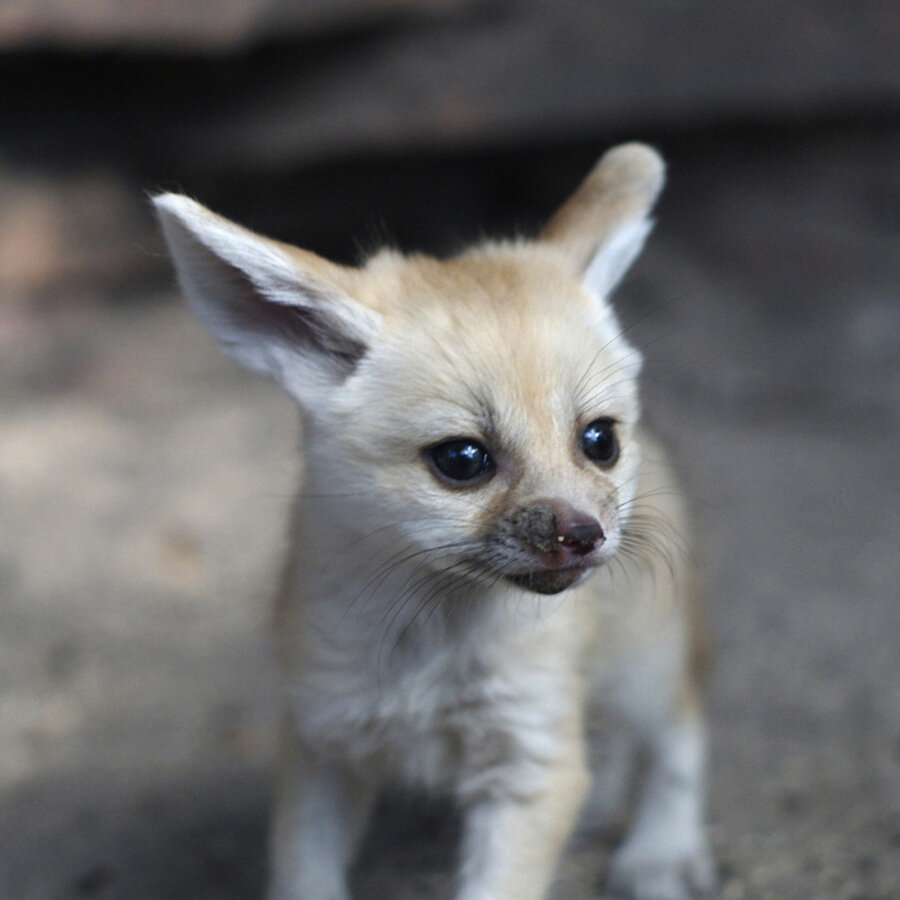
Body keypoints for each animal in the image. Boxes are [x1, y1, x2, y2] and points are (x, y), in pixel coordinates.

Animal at [156, 144, 716, 900]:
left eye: (598, 441)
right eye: (462, 459)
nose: (583, 535)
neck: (429, 653)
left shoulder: (533, 760)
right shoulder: (320, 741)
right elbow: (304, 874)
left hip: (643, 668)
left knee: (679, 730)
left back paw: (662, 848)